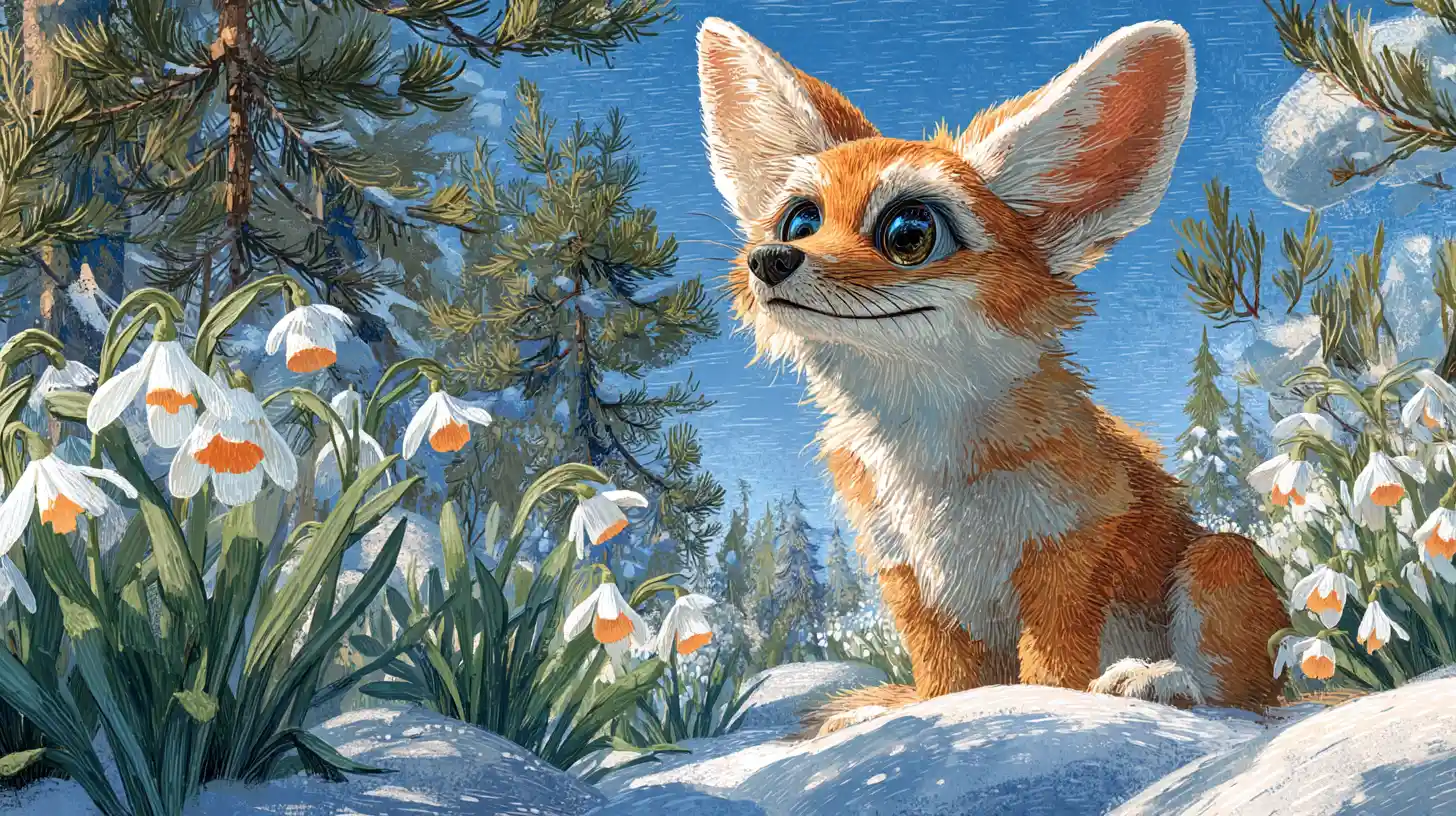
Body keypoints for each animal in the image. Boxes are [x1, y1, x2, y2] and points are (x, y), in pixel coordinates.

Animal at [696, 18, 1291, 735]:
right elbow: (946, 687)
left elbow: (1052, 674)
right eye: (801, 221)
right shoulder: (911, 579)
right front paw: (916, 713)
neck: (926, 455)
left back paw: (1163, 678)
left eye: (909, 232)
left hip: (1220, 560)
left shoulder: (1066, 553)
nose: (770, 258)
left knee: (1248, 692)